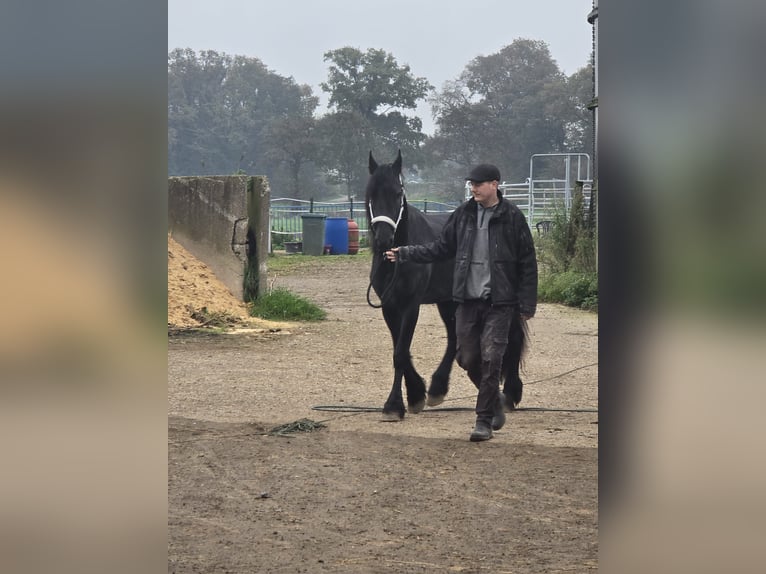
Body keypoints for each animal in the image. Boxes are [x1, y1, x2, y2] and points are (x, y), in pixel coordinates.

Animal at [366, 151, 528, 420]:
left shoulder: (411, 305)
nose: (383, 240)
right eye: (370, 194)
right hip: (449, 301)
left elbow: (400, 353)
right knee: (454, 340)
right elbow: (400, 351)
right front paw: (415, 394)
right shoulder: (389, 306)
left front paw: (394, 406)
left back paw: (511, 393)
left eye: (398, 194)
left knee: (512, 337)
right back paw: (437, 388)